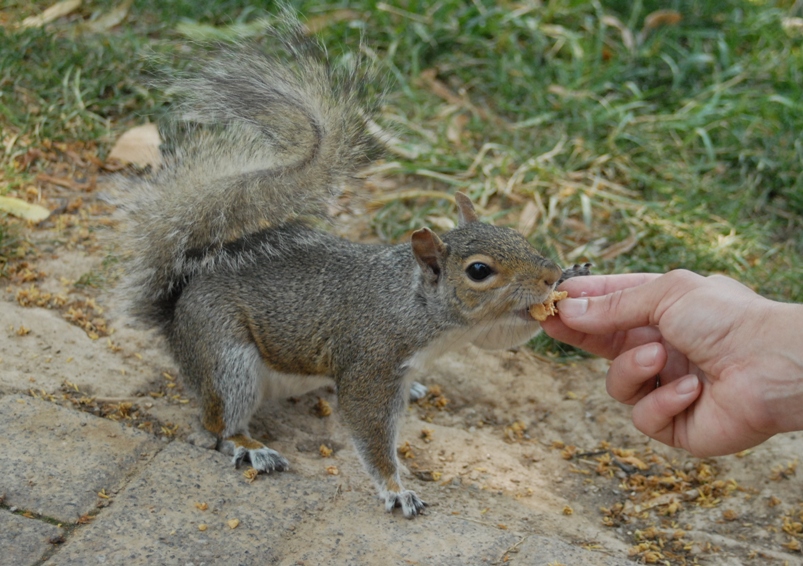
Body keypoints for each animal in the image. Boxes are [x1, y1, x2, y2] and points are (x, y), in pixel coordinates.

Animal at [113, 21, 592, 520]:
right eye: (479, 270)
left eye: (515, 233)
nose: (547, 275)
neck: (421, 308)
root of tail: (175, 315)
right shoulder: (373, 362)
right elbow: (369, 427)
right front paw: (395, 488)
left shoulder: (477, 331)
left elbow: (505, 338)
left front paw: (572, 275)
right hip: (225, 357)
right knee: (215, 424)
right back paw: (250, 446)